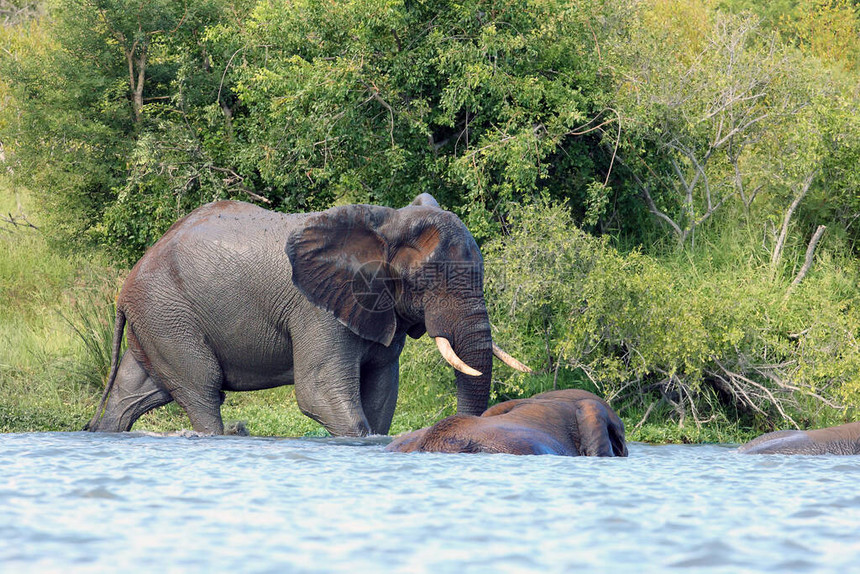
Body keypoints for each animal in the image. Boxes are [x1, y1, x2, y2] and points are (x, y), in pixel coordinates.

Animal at [84, 194, 528, 436]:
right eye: (426, 281)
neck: (385, 221)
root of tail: (126, 286)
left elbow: (382, 393)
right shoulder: (316, 310)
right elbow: (320, 394)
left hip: (157, 318)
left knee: (133, 394)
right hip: (168, 312)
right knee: (203, 390)